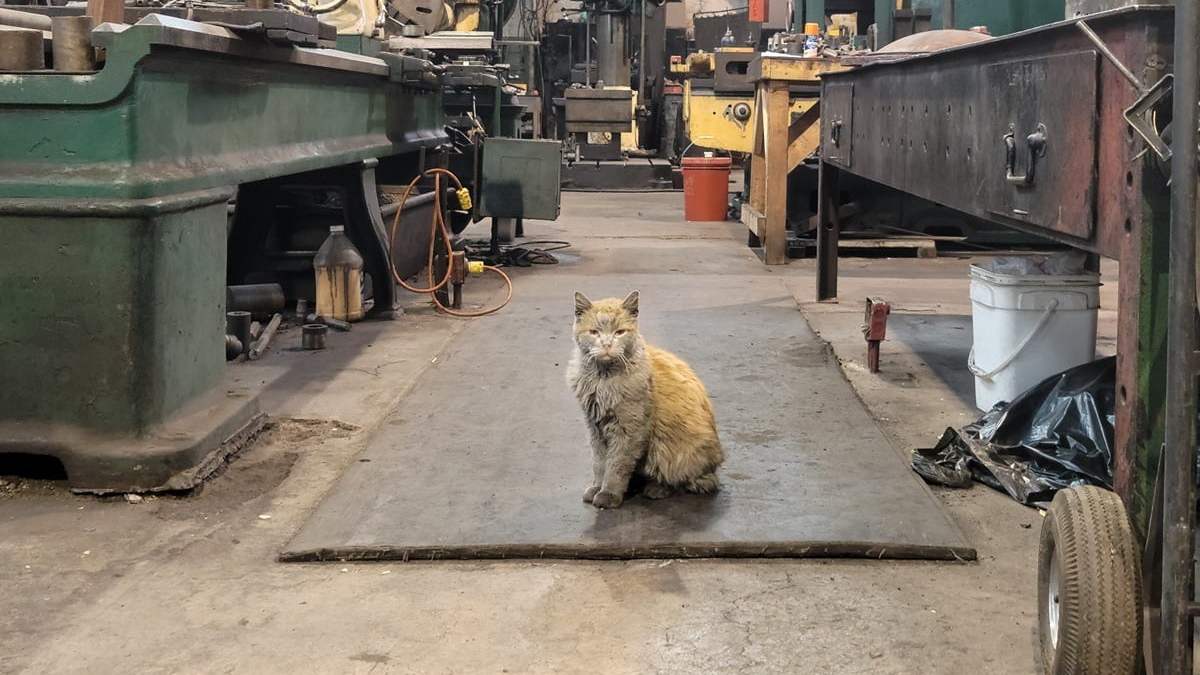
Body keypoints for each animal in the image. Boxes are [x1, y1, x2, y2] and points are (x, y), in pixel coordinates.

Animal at [568, 289, 724, 504]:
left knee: (688, 481)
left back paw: (656, 489)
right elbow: (599, 463)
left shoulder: (629, 429)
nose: (607, 344)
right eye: (594, 332)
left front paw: (608, 494)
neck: (603, 379)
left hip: (672, 453)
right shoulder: (594, 427)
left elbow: (616, 465)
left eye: (619, 332)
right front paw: (596, 487)